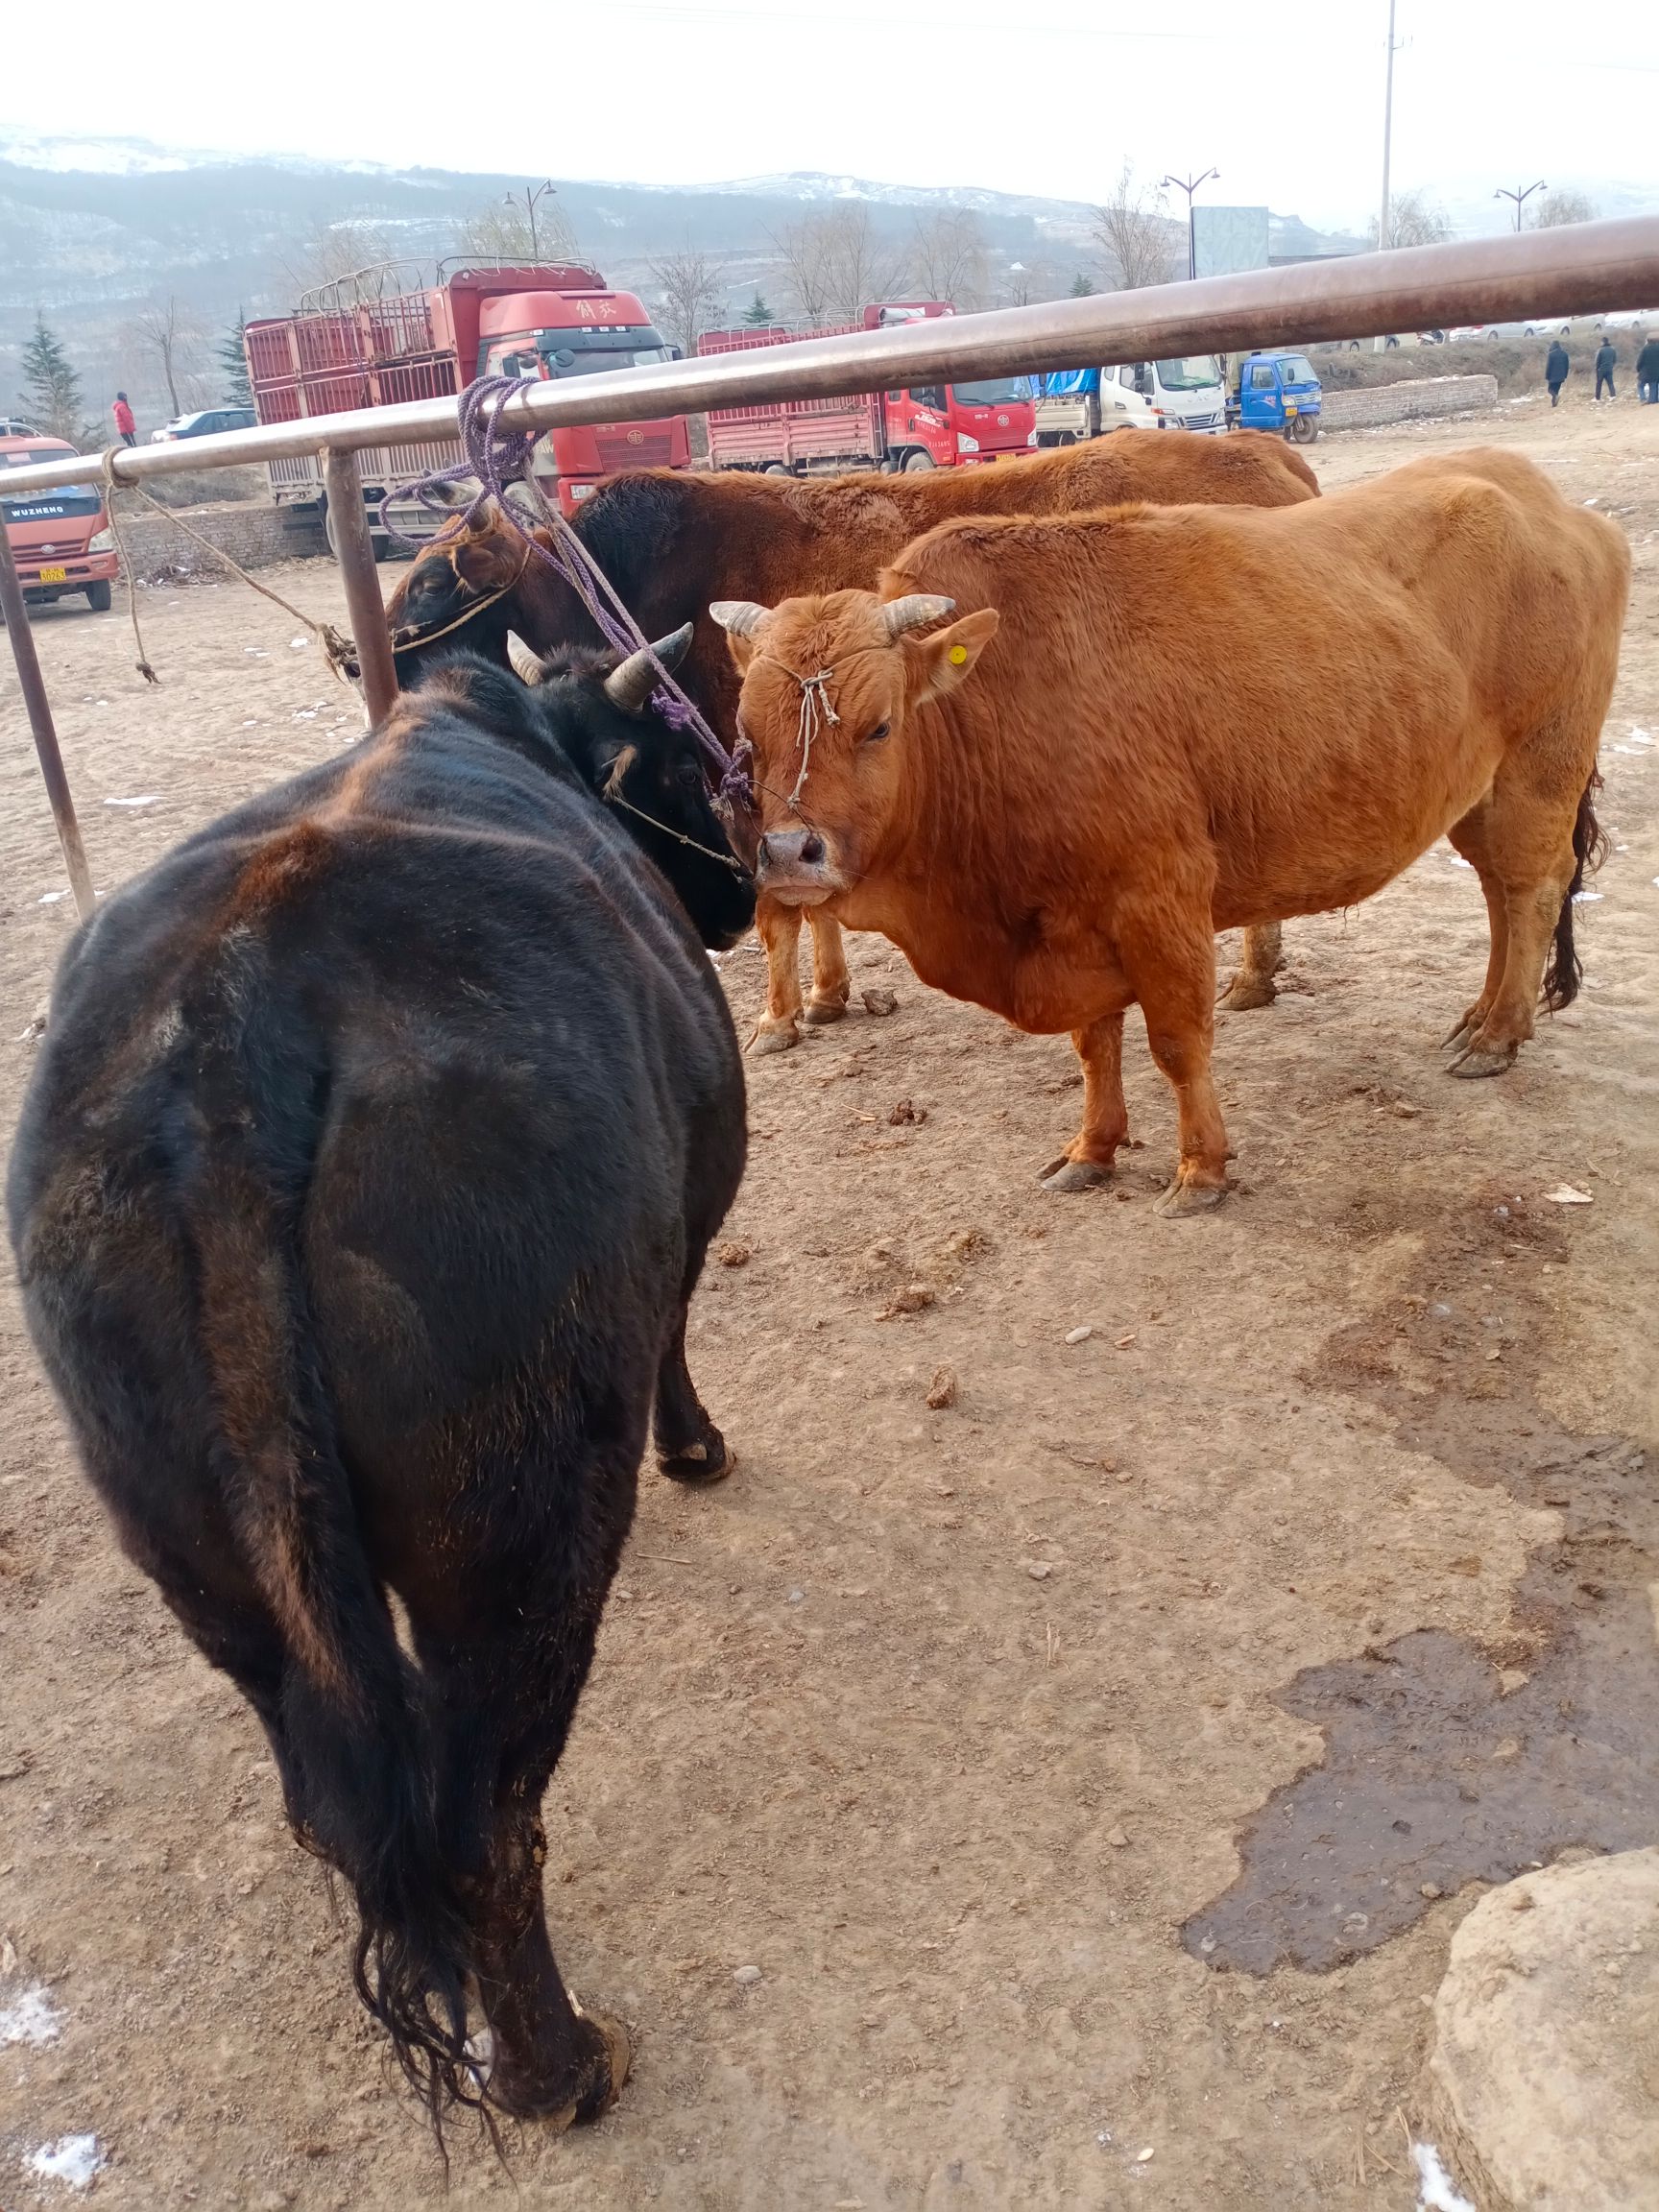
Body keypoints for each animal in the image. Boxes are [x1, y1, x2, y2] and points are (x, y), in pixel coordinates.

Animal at [6, 623, 756, 2123]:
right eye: (684, 770)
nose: (753, 886)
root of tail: (231, 1019)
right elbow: (679, 1331)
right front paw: (696, 1446)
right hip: (520, 1531)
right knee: (483, 1825)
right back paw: (561, 2070)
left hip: (198, 1552)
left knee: (336, 1808)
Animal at [380, 445, 1327, 1048]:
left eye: (427, 584)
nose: (362, 659)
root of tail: (1268, 454)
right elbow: (812, 889)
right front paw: (828, 997)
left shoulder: (743, 784)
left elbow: (779, 907)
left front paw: (777, 1018)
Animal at [711, 448, 1627, 1212]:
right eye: (748, 736)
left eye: (877, 726)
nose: (789, 853)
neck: (1003, 708)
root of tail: (1545, 500)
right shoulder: (1071, 921)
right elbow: (1094, 1044)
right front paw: (1093, 1148)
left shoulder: (1162, 902)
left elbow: (1179, 1044)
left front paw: (1202, 1169)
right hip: (1478, 795)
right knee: (1499, 893)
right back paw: (1481, 1017)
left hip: (1537, 773)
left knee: (1532, 888)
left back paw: (1500, 1033)